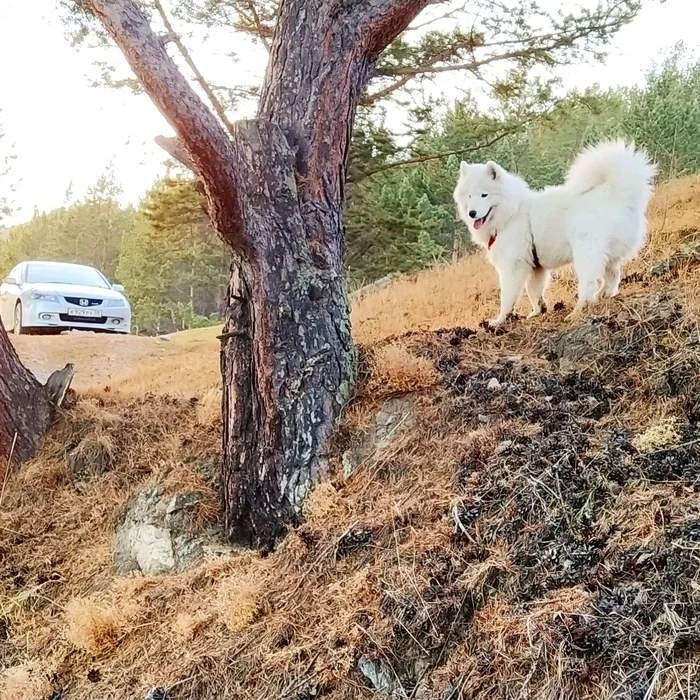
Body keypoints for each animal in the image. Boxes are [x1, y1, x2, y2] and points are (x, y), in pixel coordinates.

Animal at [454, 142, 656, 328]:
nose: (472, 213)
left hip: (586, 252)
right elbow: (533, 290)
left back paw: (578, 310)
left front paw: (499, 320)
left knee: (588, 283)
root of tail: (617, 195)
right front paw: (538, 311)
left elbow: (507, 296)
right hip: (608, 254)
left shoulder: (513, 265)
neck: (512, 212)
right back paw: (603, 296)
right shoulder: (535, 267)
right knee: (612, 276)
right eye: (469, 196)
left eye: (484, 195)